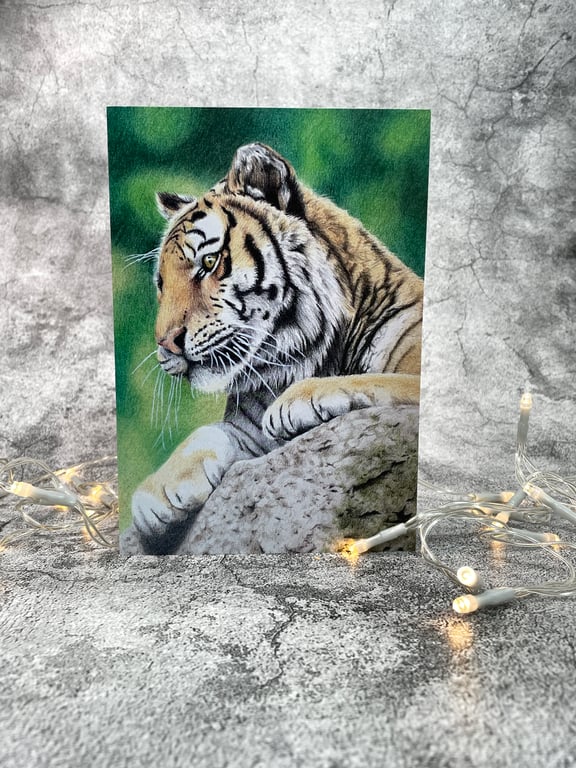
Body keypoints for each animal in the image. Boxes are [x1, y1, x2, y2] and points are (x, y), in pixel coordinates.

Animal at [127, 142, 423, 555]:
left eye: (209, 261)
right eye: (161, 282)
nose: (165, 343)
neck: (305, 356)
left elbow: (375, 380)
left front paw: (297, 401)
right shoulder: (251, 434)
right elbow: (209, 432)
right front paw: (158, 494)